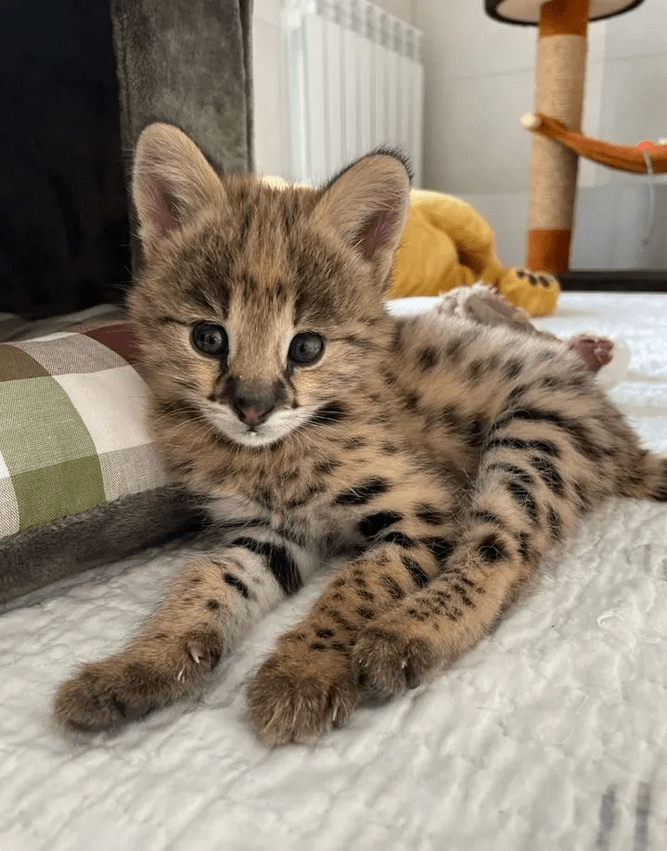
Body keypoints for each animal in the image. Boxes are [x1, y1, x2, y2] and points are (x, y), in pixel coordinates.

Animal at [53, 125, 667, 744]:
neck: (269, 455)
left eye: (307, 348)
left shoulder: (426, 511)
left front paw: (302, 671)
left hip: (533, 431)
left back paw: (407, 634)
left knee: (506, 551)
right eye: (208, 338)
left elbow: (357, 586)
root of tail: (617, 426)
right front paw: (140, 665)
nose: (253, 409)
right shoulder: (272, 532)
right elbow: (210, 581)